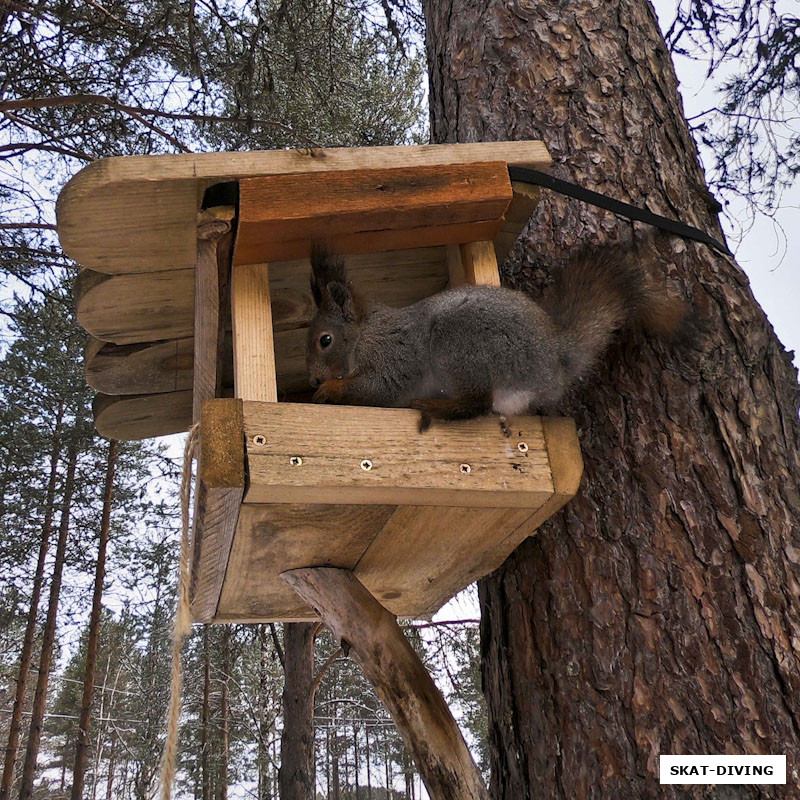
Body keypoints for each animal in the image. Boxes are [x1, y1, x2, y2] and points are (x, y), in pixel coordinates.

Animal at [306, 241, 692, 432]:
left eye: (325, 340)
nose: (312, 380)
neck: (364, 337)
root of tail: (554, 354)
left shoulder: (395, 356)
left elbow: (380, 386)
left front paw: (330, 390)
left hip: (459, 344)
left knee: (474, 403)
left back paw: (434, 406)